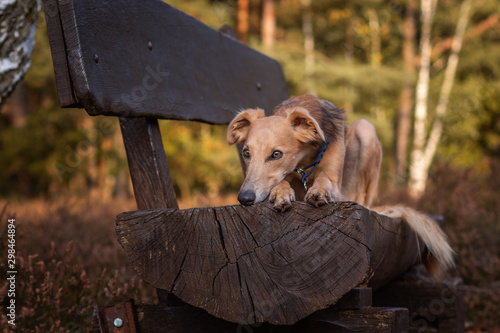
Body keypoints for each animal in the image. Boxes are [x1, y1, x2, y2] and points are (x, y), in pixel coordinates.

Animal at [229, 94, 456, 278]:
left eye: (276, 154)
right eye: (246, 153)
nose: (244, 198)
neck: (304, 161)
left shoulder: (336, 183)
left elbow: (324, 180)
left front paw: (319, 191)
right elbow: (282, 180)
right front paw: (280, 192)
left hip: (365, 132)